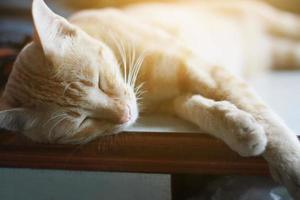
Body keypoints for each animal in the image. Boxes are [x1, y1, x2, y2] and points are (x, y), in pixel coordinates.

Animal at [0, 0, 300, 198]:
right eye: (82, 121)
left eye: (99, 81)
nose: (124, 114)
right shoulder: (180, 97)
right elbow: (200, 109)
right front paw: (239, 129)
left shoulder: (205, 70)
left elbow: (265, 117)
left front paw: (290, 163)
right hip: (279, 51)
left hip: (276, 23)